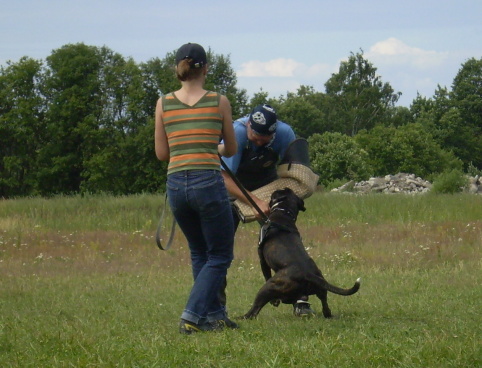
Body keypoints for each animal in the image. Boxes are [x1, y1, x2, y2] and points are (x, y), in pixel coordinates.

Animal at [243, 188, 360, 318]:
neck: (284, 213)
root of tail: (307, 274)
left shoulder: (262, 260)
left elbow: (266, 274)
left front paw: (274, 301)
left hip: (267, 288)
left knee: (254, 310)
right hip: (320, 289)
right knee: (325, 306)